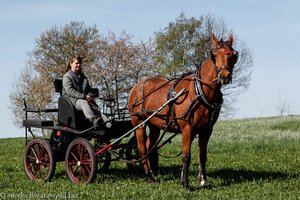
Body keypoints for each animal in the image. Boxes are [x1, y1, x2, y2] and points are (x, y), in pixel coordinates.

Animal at [127, 34, 239, 189]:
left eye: (234, 56)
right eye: (214, 55)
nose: (225, 76)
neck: (198, 91)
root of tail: (137, 86)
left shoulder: (206, 129)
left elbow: (202, 155)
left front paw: (203, 181)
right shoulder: (187, 128)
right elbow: (186, 156)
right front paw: (185, 183)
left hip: (154, 125)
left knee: (150, 148)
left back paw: (151, 174)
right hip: (139, 123)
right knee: (142, 149)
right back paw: (149, 177)